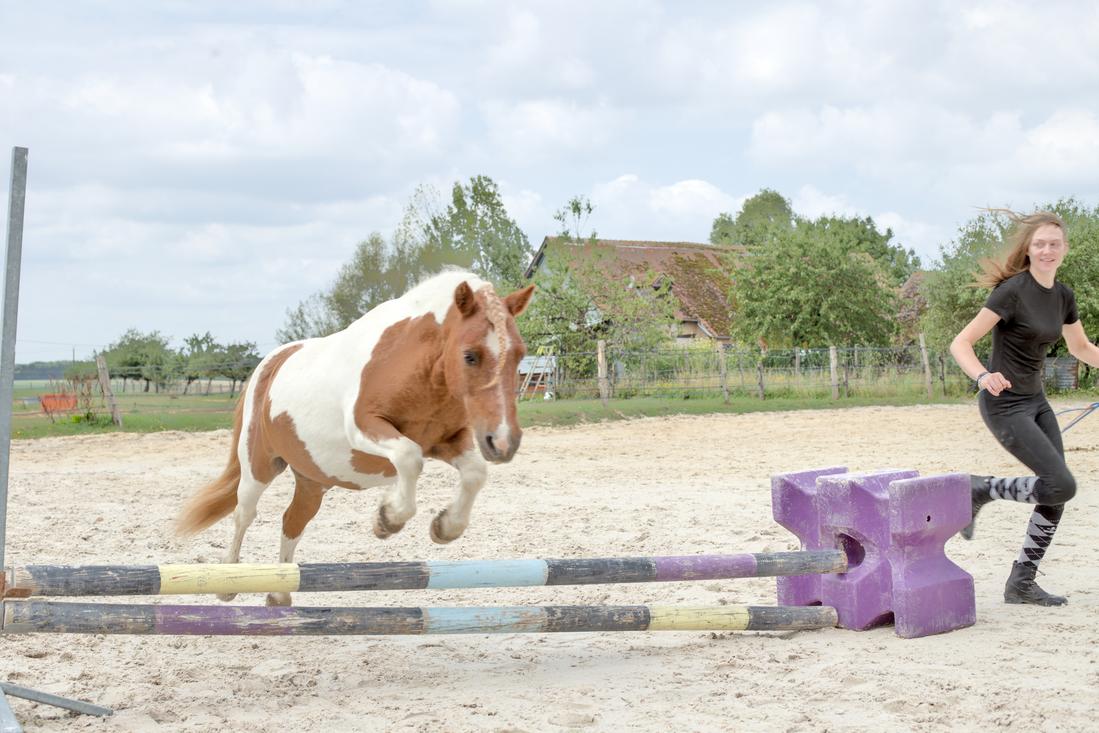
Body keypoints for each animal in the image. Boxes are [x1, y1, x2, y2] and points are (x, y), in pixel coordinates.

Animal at [176, 270, 535, 606]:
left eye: (520, 354)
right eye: (470, 355)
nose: (503, 442)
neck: (418, 368)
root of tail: (269, 365)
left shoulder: (448, 441)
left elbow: (474, 473)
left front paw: (445, 527)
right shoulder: (365, 427)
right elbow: (409, 457)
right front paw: (388, 519)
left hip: (313, 479)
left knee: (293, 520)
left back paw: (279, 594)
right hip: (260, 465)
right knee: (244, 514)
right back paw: (227, 583)